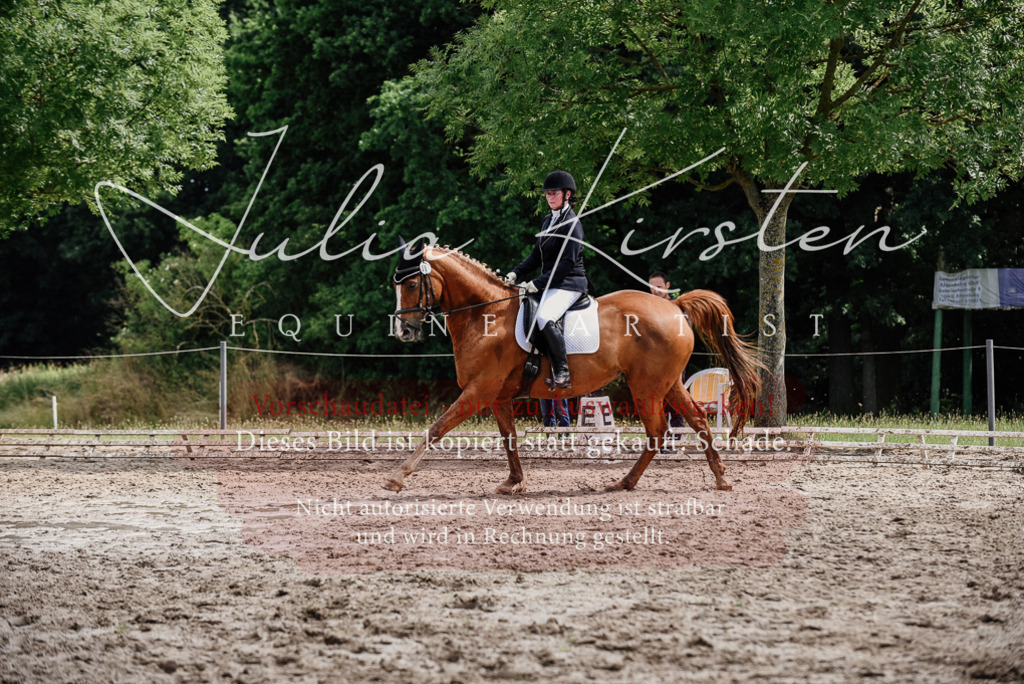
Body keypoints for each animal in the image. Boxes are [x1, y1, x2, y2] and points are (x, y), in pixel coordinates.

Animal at [386, 242, 761, 494]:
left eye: (410, 284)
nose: (403, 332)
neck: (485, 314)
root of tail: (675, 307)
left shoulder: (479, 390)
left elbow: (436, 428)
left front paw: (398, 476)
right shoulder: (498, 396)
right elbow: (509, 438)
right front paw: (513, 482)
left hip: (647, 386)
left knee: (658, 430)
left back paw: (625, 482)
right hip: (668, 383)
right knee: (696, 421)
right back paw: (719, 478)